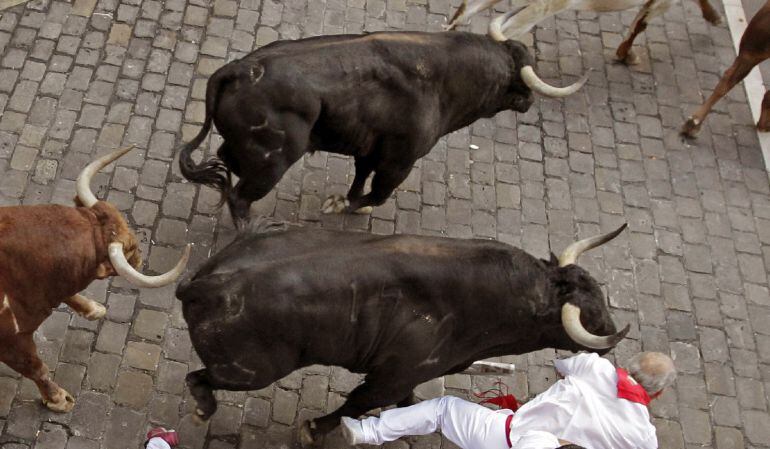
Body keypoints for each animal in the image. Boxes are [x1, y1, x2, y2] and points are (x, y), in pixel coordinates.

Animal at [0, 145, 190, 412]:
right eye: (130, 248)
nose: (139, 259)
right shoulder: (13, 343)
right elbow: (38, 370)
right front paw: (59, 400)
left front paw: (94, 309)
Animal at [177, 220, 628, 440]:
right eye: (589, 314)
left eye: (599, 293)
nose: (609, 336)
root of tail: (206, 284)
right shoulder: (391, 375)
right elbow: (356, 404)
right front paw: (314, 431)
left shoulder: (409, 377)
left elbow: (407, 401)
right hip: (250, 372)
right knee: (199, 378)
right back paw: (203, 410)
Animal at [178, 30, 584, 228]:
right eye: (517, 85)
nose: (529, 102)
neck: (445, 78)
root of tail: (239, 68)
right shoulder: (399, 160)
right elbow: (377, 193)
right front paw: (342, 206)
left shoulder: (370, 148)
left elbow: (361, 178)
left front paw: (347, 201)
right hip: (272, 162)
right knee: (240, 197)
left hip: (245, 151)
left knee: (224, 162)